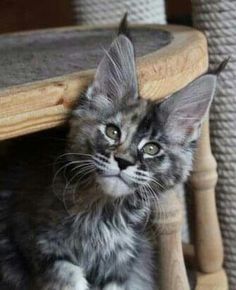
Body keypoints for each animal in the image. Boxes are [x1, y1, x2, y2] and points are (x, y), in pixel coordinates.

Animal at [0, 16, 218, 290]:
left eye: (151, 148)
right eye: (113, 132)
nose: (123, 161)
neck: (102, 212)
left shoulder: (121, 266)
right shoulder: (37, 244)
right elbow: (68, 279)